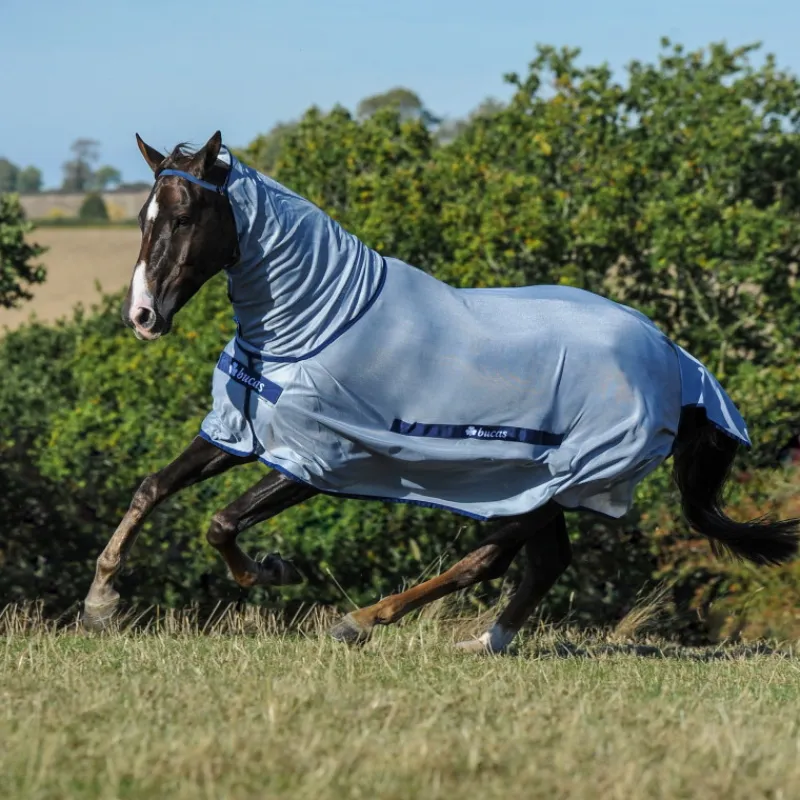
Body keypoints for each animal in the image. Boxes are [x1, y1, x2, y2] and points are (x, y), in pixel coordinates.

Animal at [81, 131, 800, 652]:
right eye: (142, 216)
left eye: (184, 216)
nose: (142, 316)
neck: (316, 322)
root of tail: (676, 360)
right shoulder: (239, 435)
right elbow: (152, 487)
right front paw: (101, 603)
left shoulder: (318, 460)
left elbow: (221, 523)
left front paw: (272, 570)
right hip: (536, 483)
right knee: (542, 563)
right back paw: (483, 643)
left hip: (561, 483)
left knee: (488, 560)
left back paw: (362, 622)